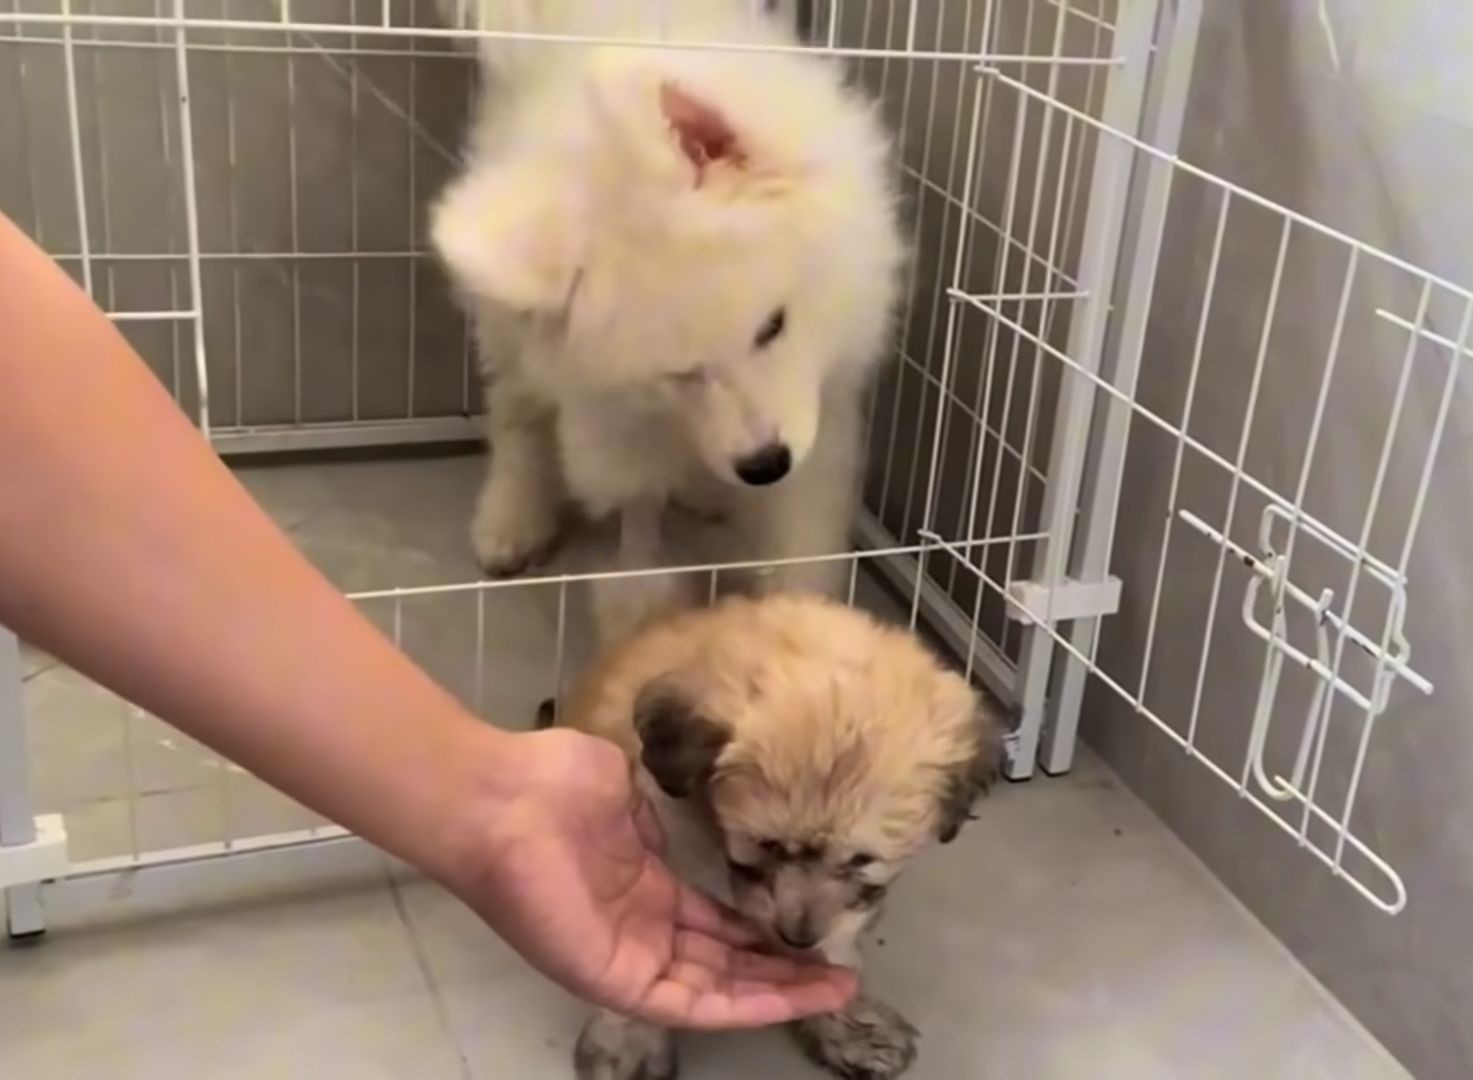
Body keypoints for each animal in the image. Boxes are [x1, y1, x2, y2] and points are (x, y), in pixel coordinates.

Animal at [556, 595, 1007, 1072]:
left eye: (861, 860)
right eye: (766, 845)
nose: (798, 936)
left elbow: (837, 947)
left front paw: (846, 1023)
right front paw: (629, 1038)